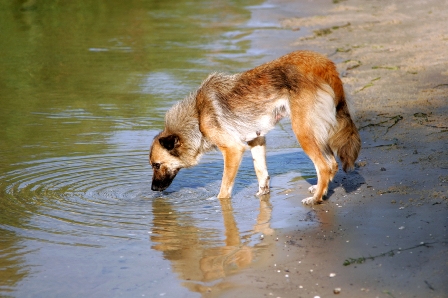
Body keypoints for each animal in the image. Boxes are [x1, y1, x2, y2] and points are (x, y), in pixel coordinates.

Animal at [150, 51, 360, 205]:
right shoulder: (256, 139)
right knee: (332, 164)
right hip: (317, 133)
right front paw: (263, 194)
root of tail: (323, 63)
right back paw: (319, 190)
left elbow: (224, 188)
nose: (152, 189)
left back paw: (315, 199)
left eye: (156, 165)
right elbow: (261, 172)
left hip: (304, 133)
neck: (198, 115)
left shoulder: (233, 151)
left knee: (324, 166)